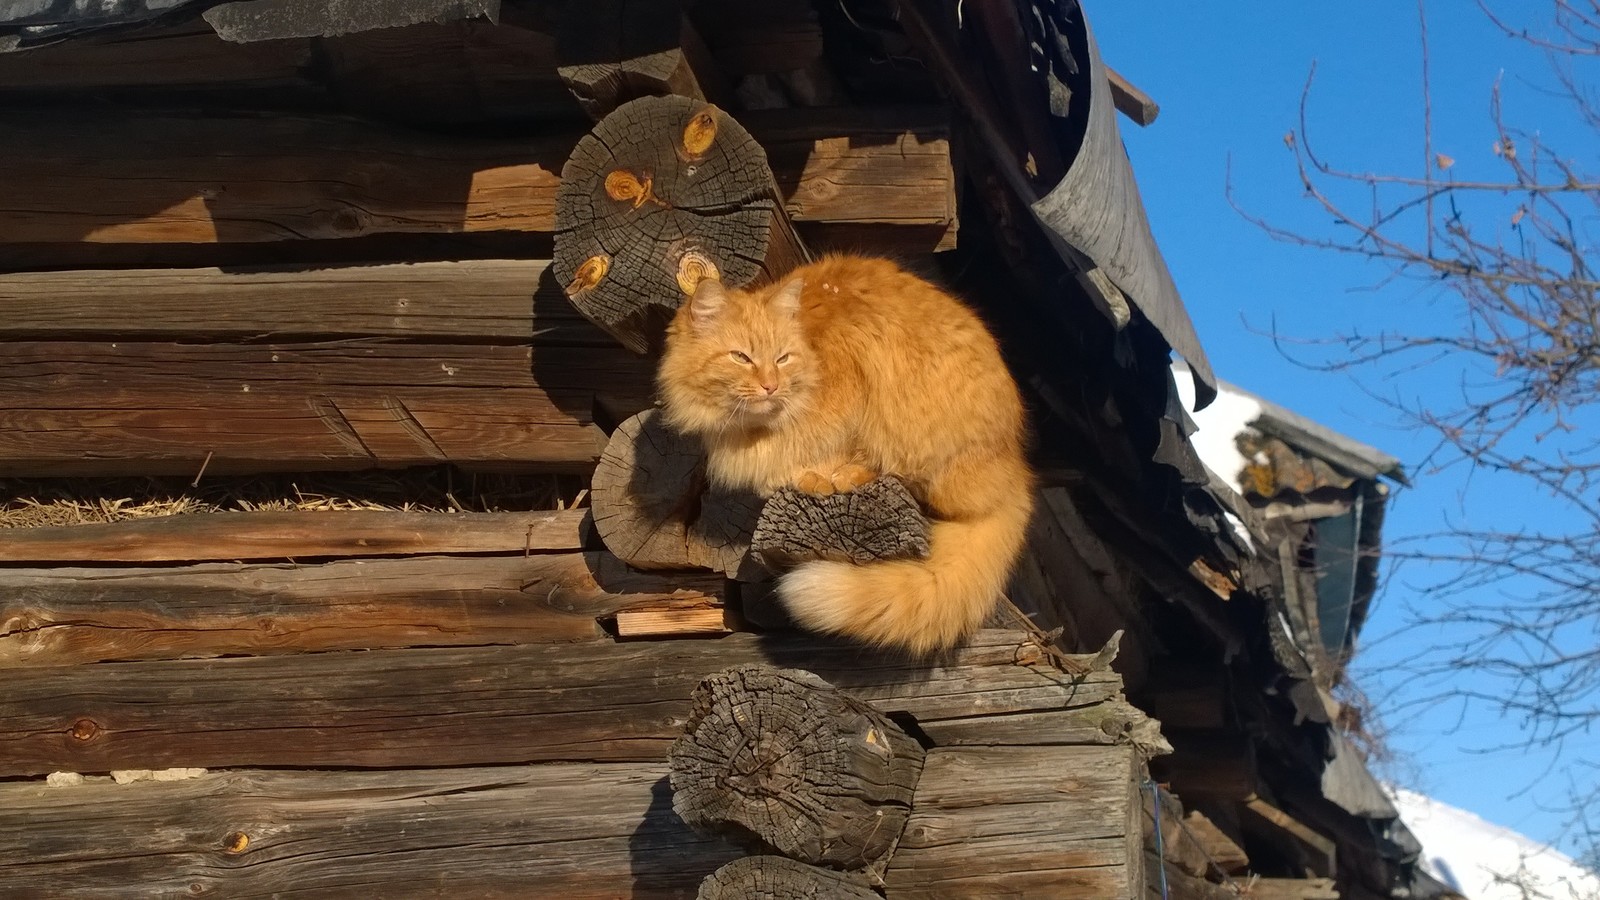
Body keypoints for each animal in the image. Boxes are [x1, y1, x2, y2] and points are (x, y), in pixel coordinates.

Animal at [652, 253, 1036, 650]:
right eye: (741, 357)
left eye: (782, 359)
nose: (771, 386)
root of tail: (1015, 467)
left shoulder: (851, 388)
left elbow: (832, 445)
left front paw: (817, 473)